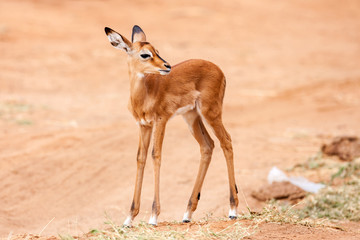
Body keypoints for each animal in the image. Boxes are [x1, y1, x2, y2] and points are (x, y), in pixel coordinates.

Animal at [104, 25, 239, 227]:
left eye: (157, 51)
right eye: (145, 54)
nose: (166, 66)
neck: (145, 95)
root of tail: (218, 69)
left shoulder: (161, 120)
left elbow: (156, 155)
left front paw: (153, 217)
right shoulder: (143, 125)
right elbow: (141, 158)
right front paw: (129, 219)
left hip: (210, 113)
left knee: (227, 142)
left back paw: (233, 211)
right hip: (191, 117)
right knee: (207, 146)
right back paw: (187, 214)